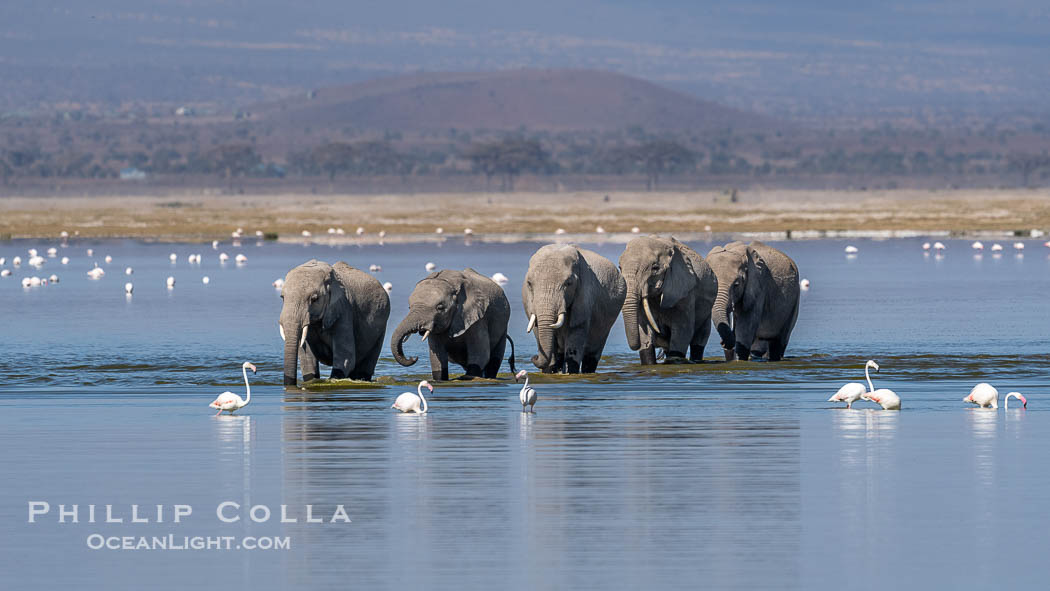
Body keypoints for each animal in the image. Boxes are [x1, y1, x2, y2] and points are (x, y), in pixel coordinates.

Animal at [522, 244, 626, 373]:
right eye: (529, 283)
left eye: (568, 283)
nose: (534, 357)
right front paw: (550, 371)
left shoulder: (585, 295)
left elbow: (576, 331)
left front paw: (569, 373)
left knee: (592, 355)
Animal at [619, 236, 718, 364]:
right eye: (620, 268)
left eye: (655, 268)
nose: (660, 332)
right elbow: (643, 329)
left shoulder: (685, 290)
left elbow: (683, 328)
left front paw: (675, 360)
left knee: (700, 339)